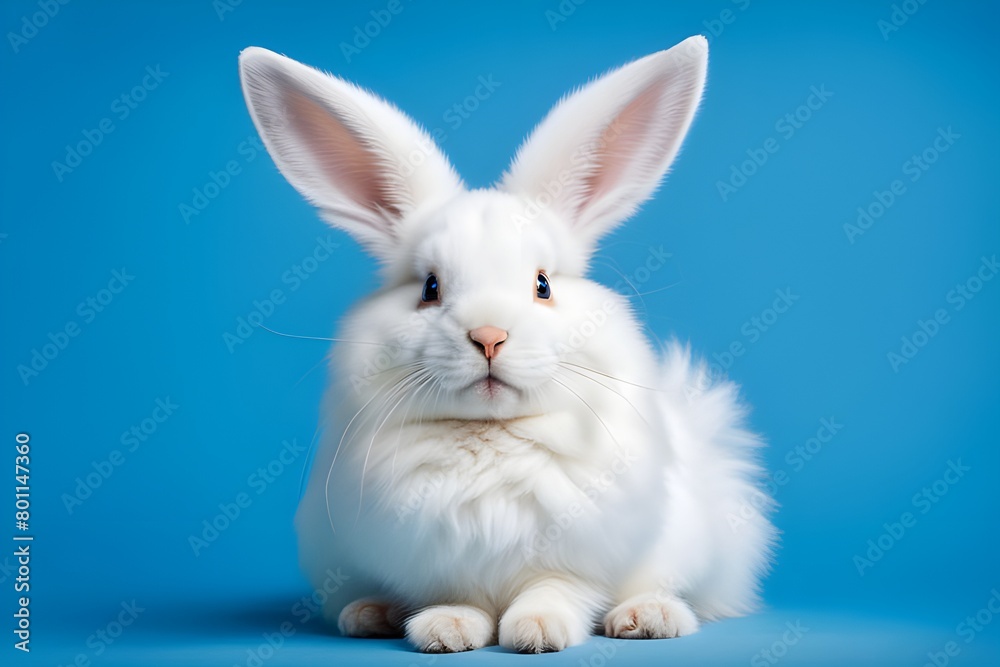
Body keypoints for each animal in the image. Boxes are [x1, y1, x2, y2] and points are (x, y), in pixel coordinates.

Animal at [238, 35, 776, 654]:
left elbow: (558, 588)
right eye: (429, 288)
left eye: (542, 285)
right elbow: (458, 596)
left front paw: (537, 630)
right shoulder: (438, 559)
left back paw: (649, 618)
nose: (488, 336)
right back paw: (369, 613)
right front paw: (446, 629)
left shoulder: (576, 559)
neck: (490, 438)